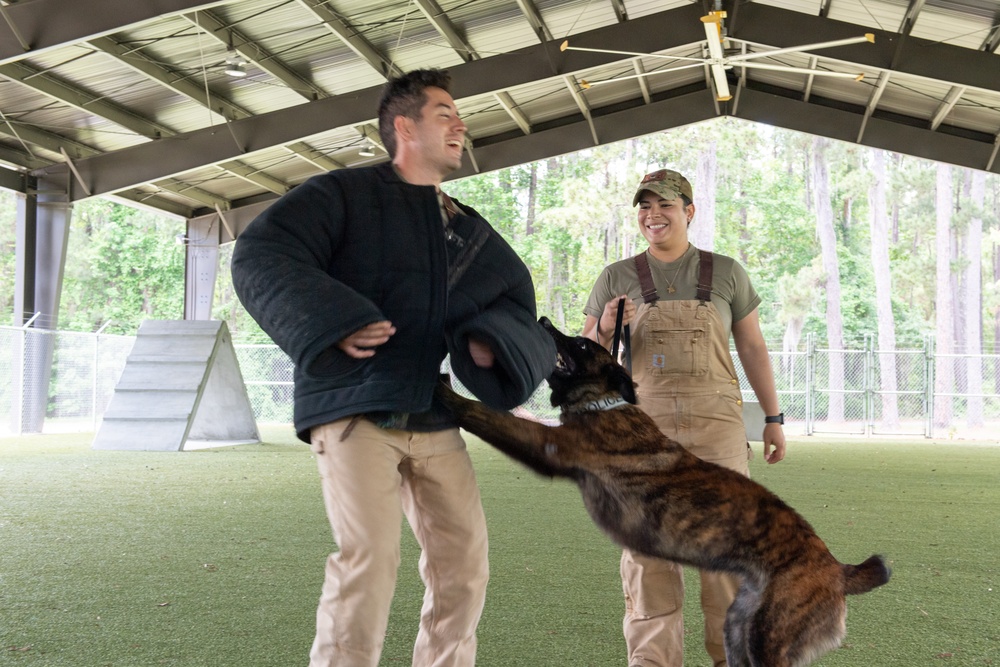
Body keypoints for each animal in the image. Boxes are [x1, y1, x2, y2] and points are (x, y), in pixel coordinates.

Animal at [438, 316, 892, 664]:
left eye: (581, 344)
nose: (545, 320)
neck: (604, 403)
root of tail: (837, 568)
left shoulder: (547, 445)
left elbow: (487, 415)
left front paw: (446, 394)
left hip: (769, 639)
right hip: (738, 629)